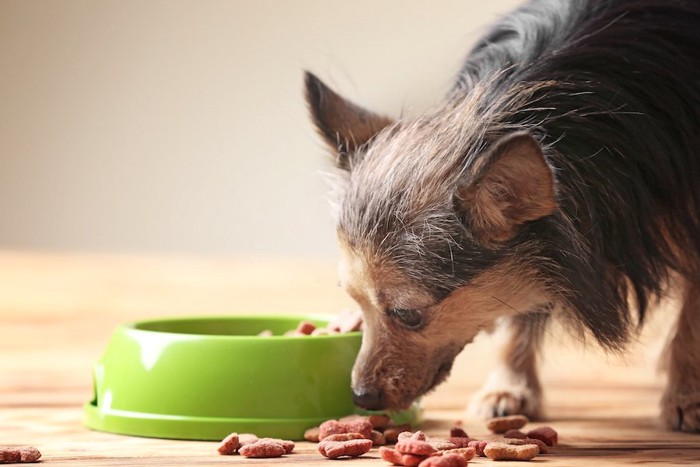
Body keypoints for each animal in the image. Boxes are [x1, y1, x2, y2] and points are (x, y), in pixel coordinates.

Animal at [304, 0, 700, 434]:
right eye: (355, 302)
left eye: (407, 315)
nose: (360, 397)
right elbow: (519, 307)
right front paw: (509, 387)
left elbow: (692, 318)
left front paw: (685, 395)